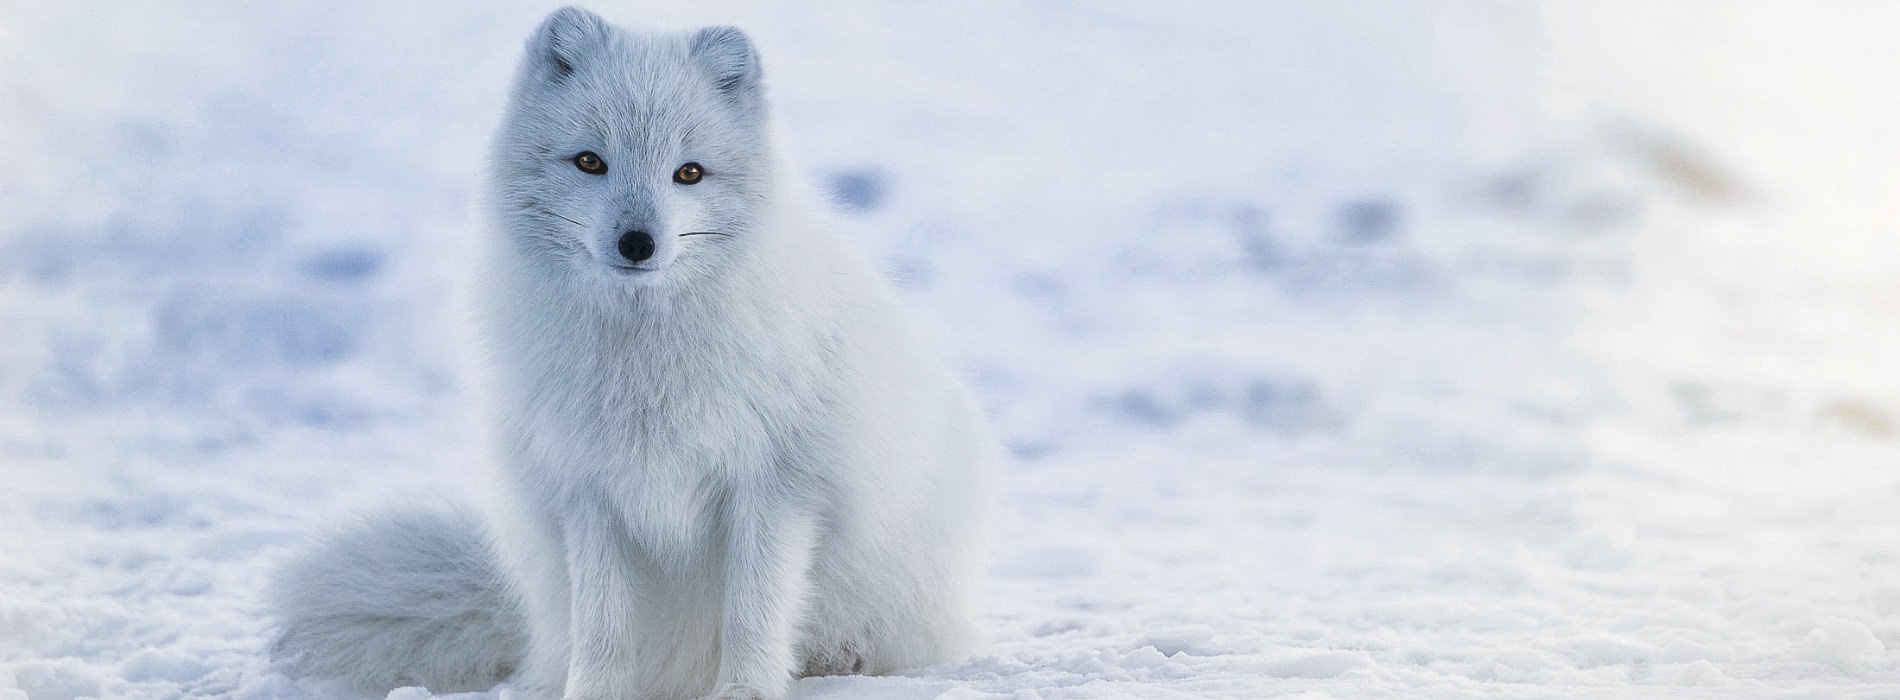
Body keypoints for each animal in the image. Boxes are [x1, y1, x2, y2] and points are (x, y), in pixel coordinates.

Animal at [268, 7, 996, 700]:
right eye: (591, 161)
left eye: (689, 173)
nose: (638, 243)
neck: (644, 360)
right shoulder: (590, 490)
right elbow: (604, 626)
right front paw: (595, 693)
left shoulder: (778, 486)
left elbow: (754, 611)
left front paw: (745, 691)